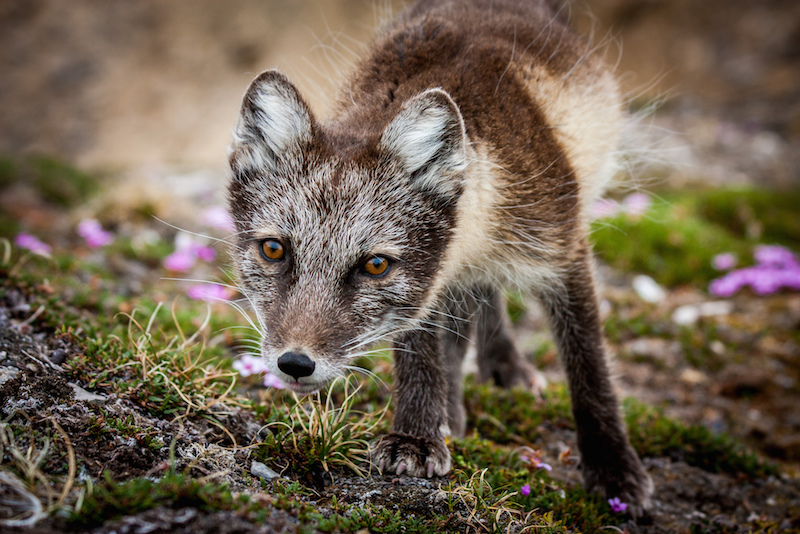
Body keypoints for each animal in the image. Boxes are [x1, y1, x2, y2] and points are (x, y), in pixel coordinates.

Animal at [228, 0, 652, 512]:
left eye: (375, 265)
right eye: (274, 249)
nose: (294, 364)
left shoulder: (561, 250)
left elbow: (588, 363)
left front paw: (614, 468)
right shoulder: (429, 285)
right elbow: (421, 351)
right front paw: (419, 435)